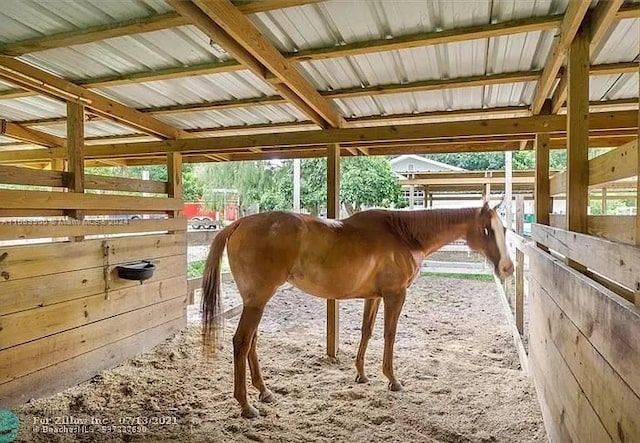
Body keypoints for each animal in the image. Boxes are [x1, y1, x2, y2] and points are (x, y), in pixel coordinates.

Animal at [204, 203, 516, 418]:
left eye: (504, 230)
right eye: (486, 230)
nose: (507, 268)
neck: (404, 233)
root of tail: (240, 223)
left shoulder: (374, 297)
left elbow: (366, 331)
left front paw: (361, 374)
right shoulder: (395, 295)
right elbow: (389, 334)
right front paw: (392, 379)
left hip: (256, 300)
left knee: (252, 342)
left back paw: (264, 391)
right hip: (257, 300)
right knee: (241, 342)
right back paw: (246, 405)